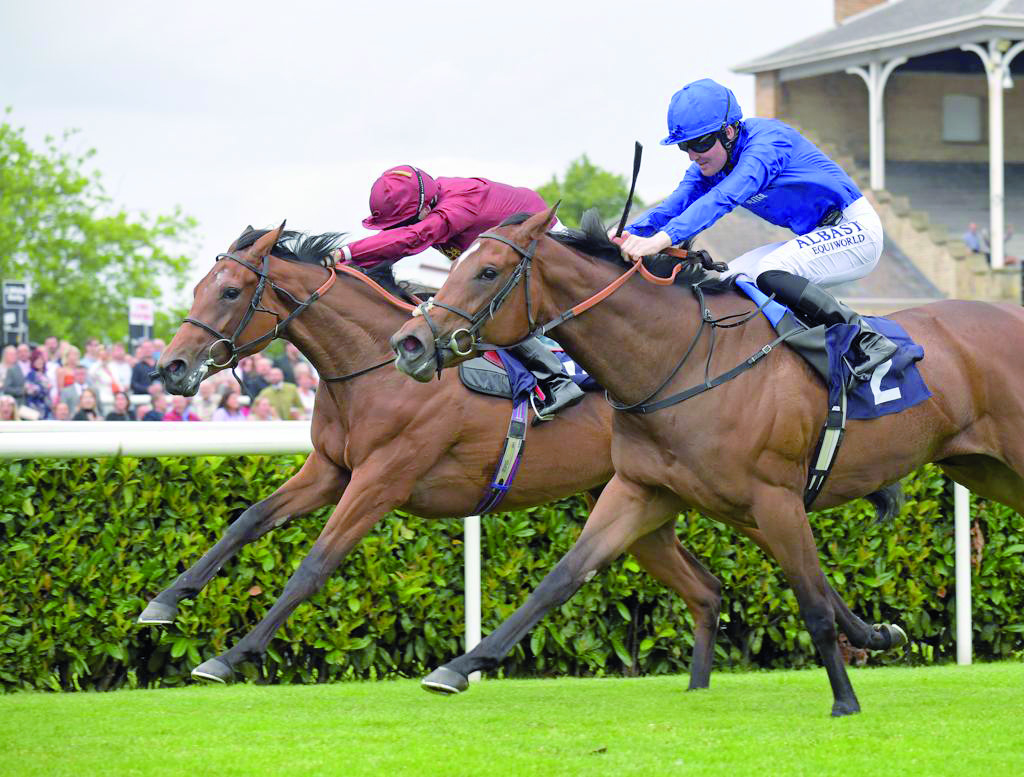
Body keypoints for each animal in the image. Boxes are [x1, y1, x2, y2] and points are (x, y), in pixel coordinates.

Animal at [144, 222, 745, 683]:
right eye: (198, 287)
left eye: (229, 292)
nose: (169, 367)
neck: (373, 365)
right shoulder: (332, 469)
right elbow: (248, 520)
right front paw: (164, 602)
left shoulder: (382, 479)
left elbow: (314, 565)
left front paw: (229, 657)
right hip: (635, 500)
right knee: (705, 589)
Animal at [389, 206, 1024, 716]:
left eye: (488, 271)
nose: (409, 344)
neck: (679, 360)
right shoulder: (640, 490)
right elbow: (561, 579)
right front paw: (458, 668)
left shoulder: (776, 498)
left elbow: (813, 602)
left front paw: (845, 701)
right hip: (985, 468)